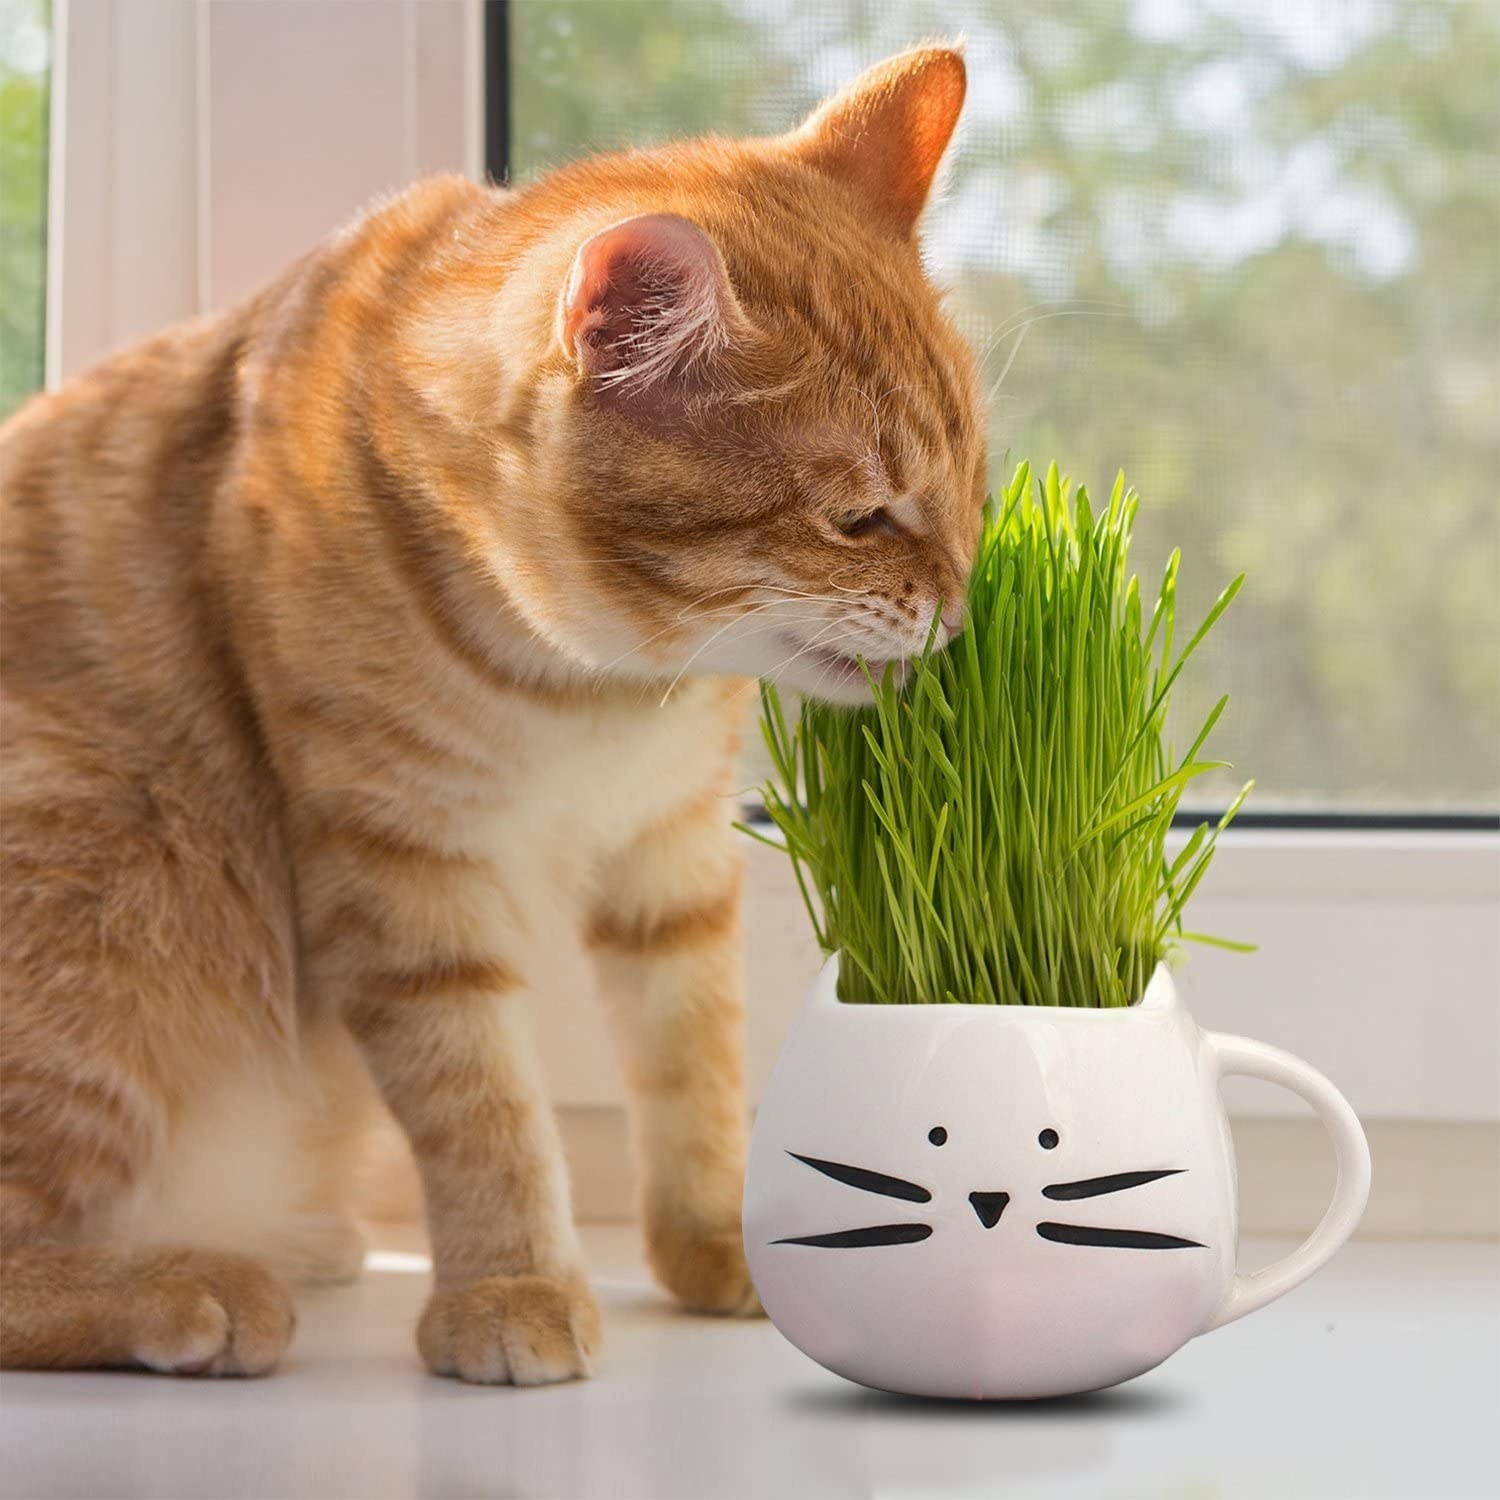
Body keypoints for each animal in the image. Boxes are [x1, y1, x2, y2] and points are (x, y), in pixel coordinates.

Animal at [0, 46, 984, 1380]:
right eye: (859, 520)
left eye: (974, 481)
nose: (959, 607)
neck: (598, 691)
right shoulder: (404, 879)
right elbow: (483, 1109)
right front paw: (512, 1282)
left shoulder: (671, 861)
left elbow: (696, 1066)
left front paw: (713, 1242)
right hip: (106, 847)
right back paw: (192, 1287)